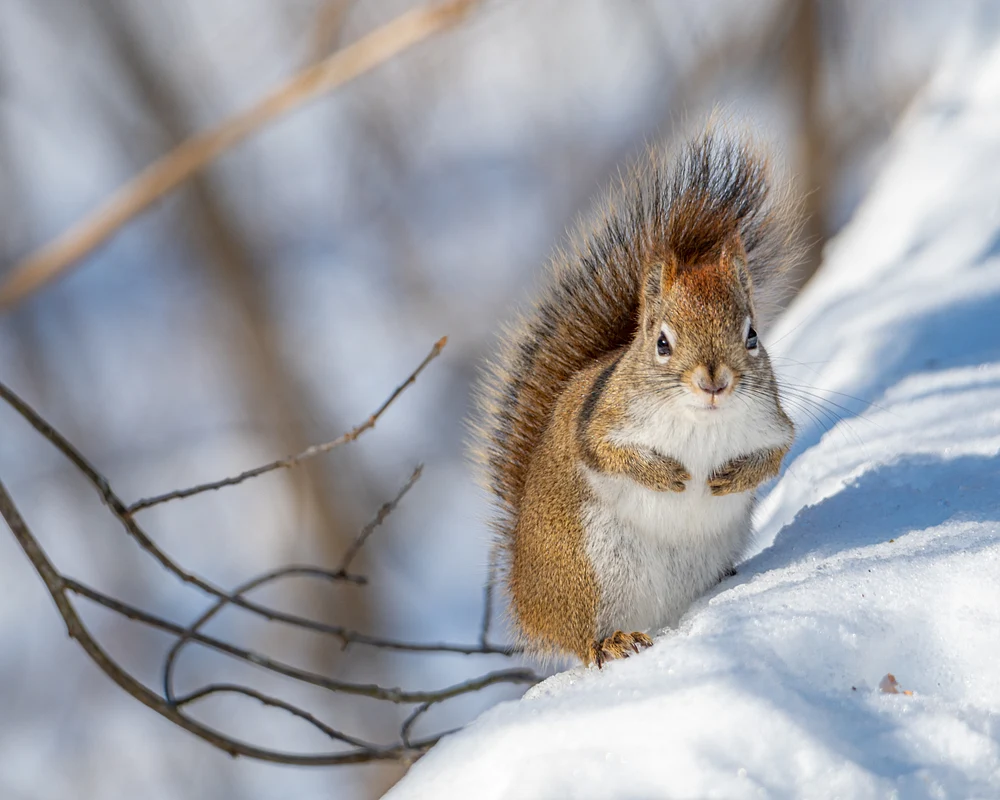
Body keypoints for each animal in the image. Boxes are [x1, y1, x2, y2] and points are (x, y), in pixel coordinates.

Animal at [473, 128, 801, 667]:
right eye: (662, 343)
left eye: (752, 335)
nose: (714, 382)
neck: (701, 421)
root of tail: (528, 602)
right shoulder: (600, 422)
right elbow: (607, 453)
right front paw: (666, 475)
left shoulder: (773, 423)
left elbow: (775, 454)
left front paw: (733, 477)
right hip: (587, 574)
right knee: (582, 638)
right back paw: (611, 641)